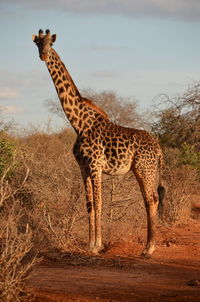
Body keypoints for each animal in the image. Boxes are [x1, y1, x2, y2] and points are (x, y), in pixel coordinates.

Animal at [32, 29, 164, 258]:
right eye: (38, 43)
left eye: (51, 43)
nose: (44, 55)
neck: (79, 123)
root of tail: (158, 148)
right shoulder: (83, 167)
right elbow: (90, 204)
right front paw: (89, 244)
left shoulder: (95, 166)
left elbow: (100, 203)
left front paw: (97, 245)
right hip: (144, 170)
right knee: (151, 199)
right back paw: (148, 247)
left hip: (144, 169)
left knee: (152, 199)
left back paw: (149, 249)